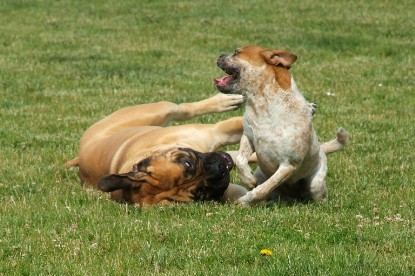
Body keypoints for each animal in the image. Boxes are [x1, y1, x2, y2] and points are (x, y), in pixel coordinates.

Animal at [64, 94, 249, 206]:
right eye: (200, 192)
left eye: (187, 163)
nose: (219, 168)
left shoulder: (217, 131)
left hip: (156, 111)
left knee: (183, 108)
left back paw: (225, 101)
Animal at [216, 45, 350, 205]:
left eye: (237, 52)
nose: (219, 55)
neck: (263, 105)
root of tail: (293, 196)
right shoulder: (248, 136)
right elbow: (241, 160)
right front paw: (249, 180)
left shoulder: (288, 165)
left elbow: (264, 188)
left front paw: (245, 201)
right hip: (263, 175)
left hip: (316, 185)